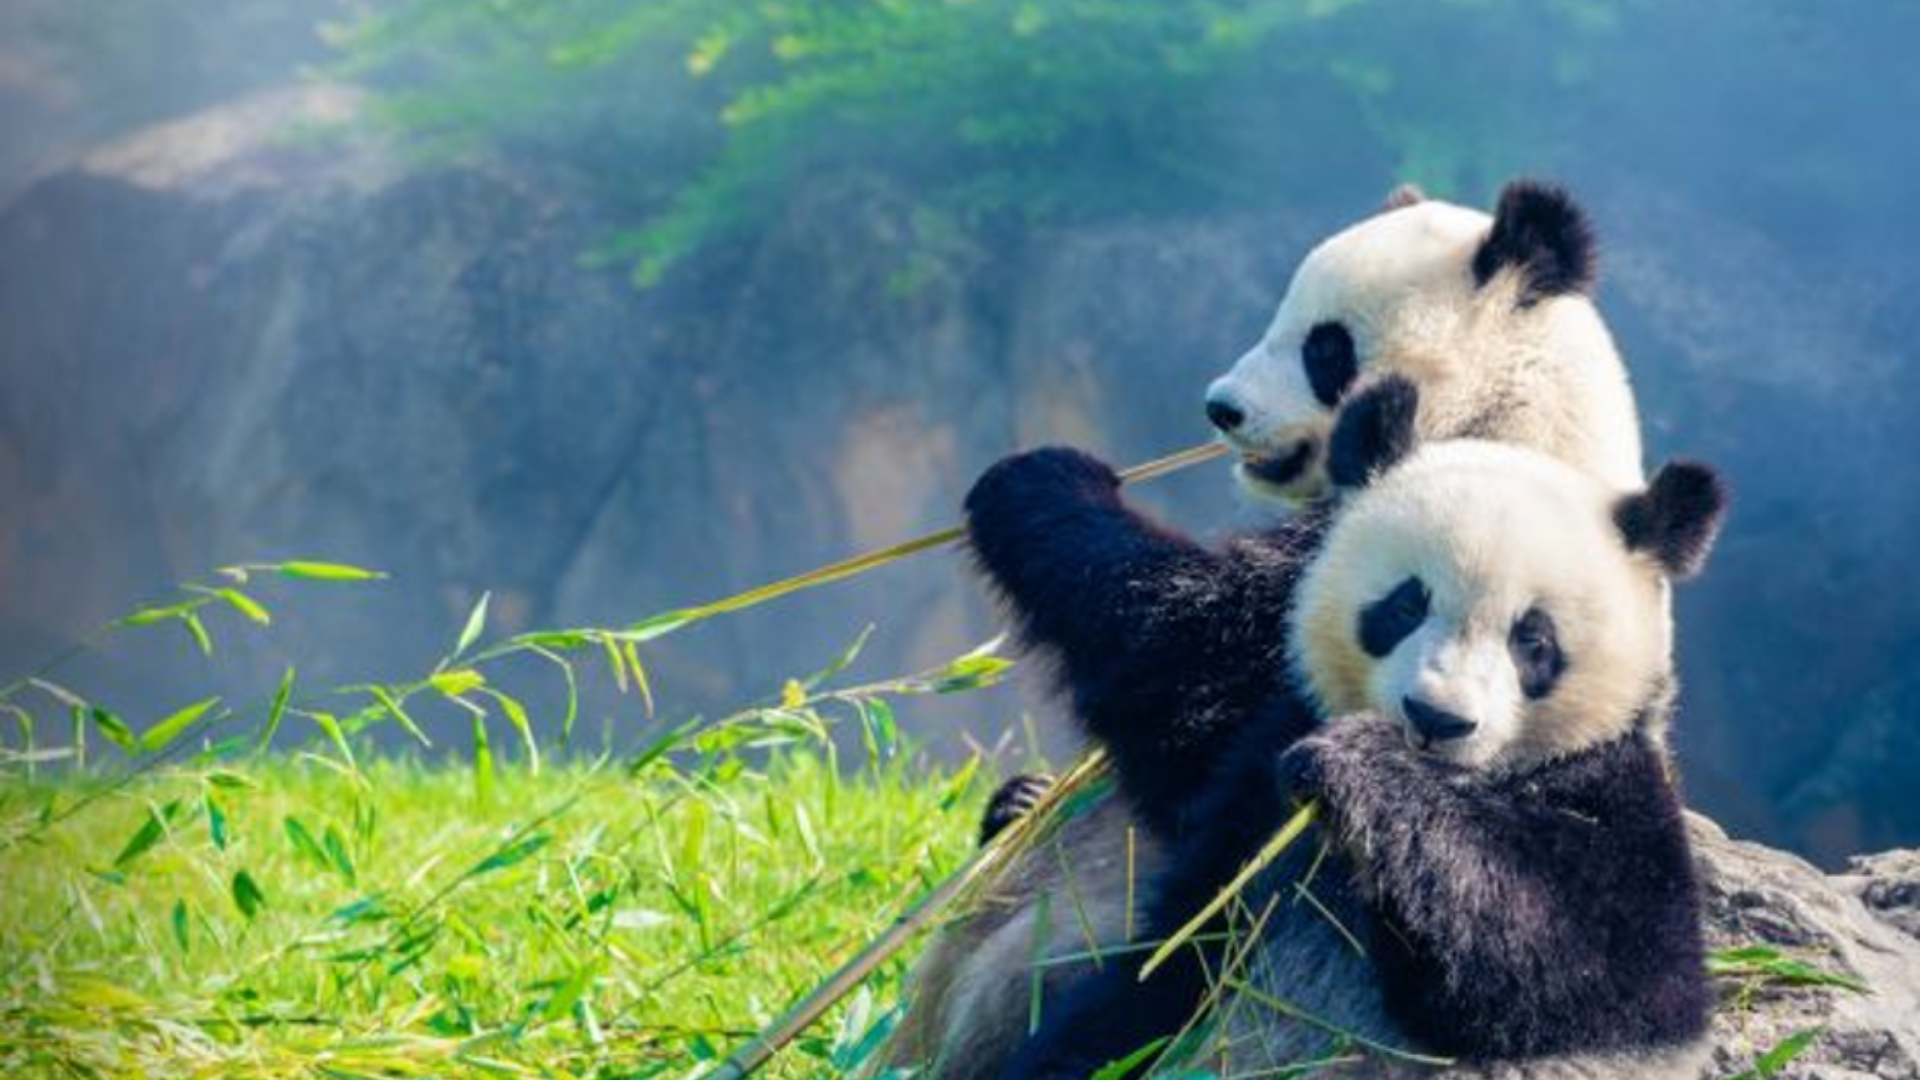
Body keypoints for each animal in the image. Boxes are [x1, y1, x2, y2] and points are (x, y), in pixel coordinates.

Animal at [995, 420, 1728, 1080]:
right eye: (1405, 604)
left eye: (1533, 639)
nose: (1436, 718)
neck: (1460, 785)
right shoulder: (1253, 798)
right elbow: (1173, 956)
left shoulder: (1610, 792)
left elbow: (1591, 967)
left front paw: (1358, 765)